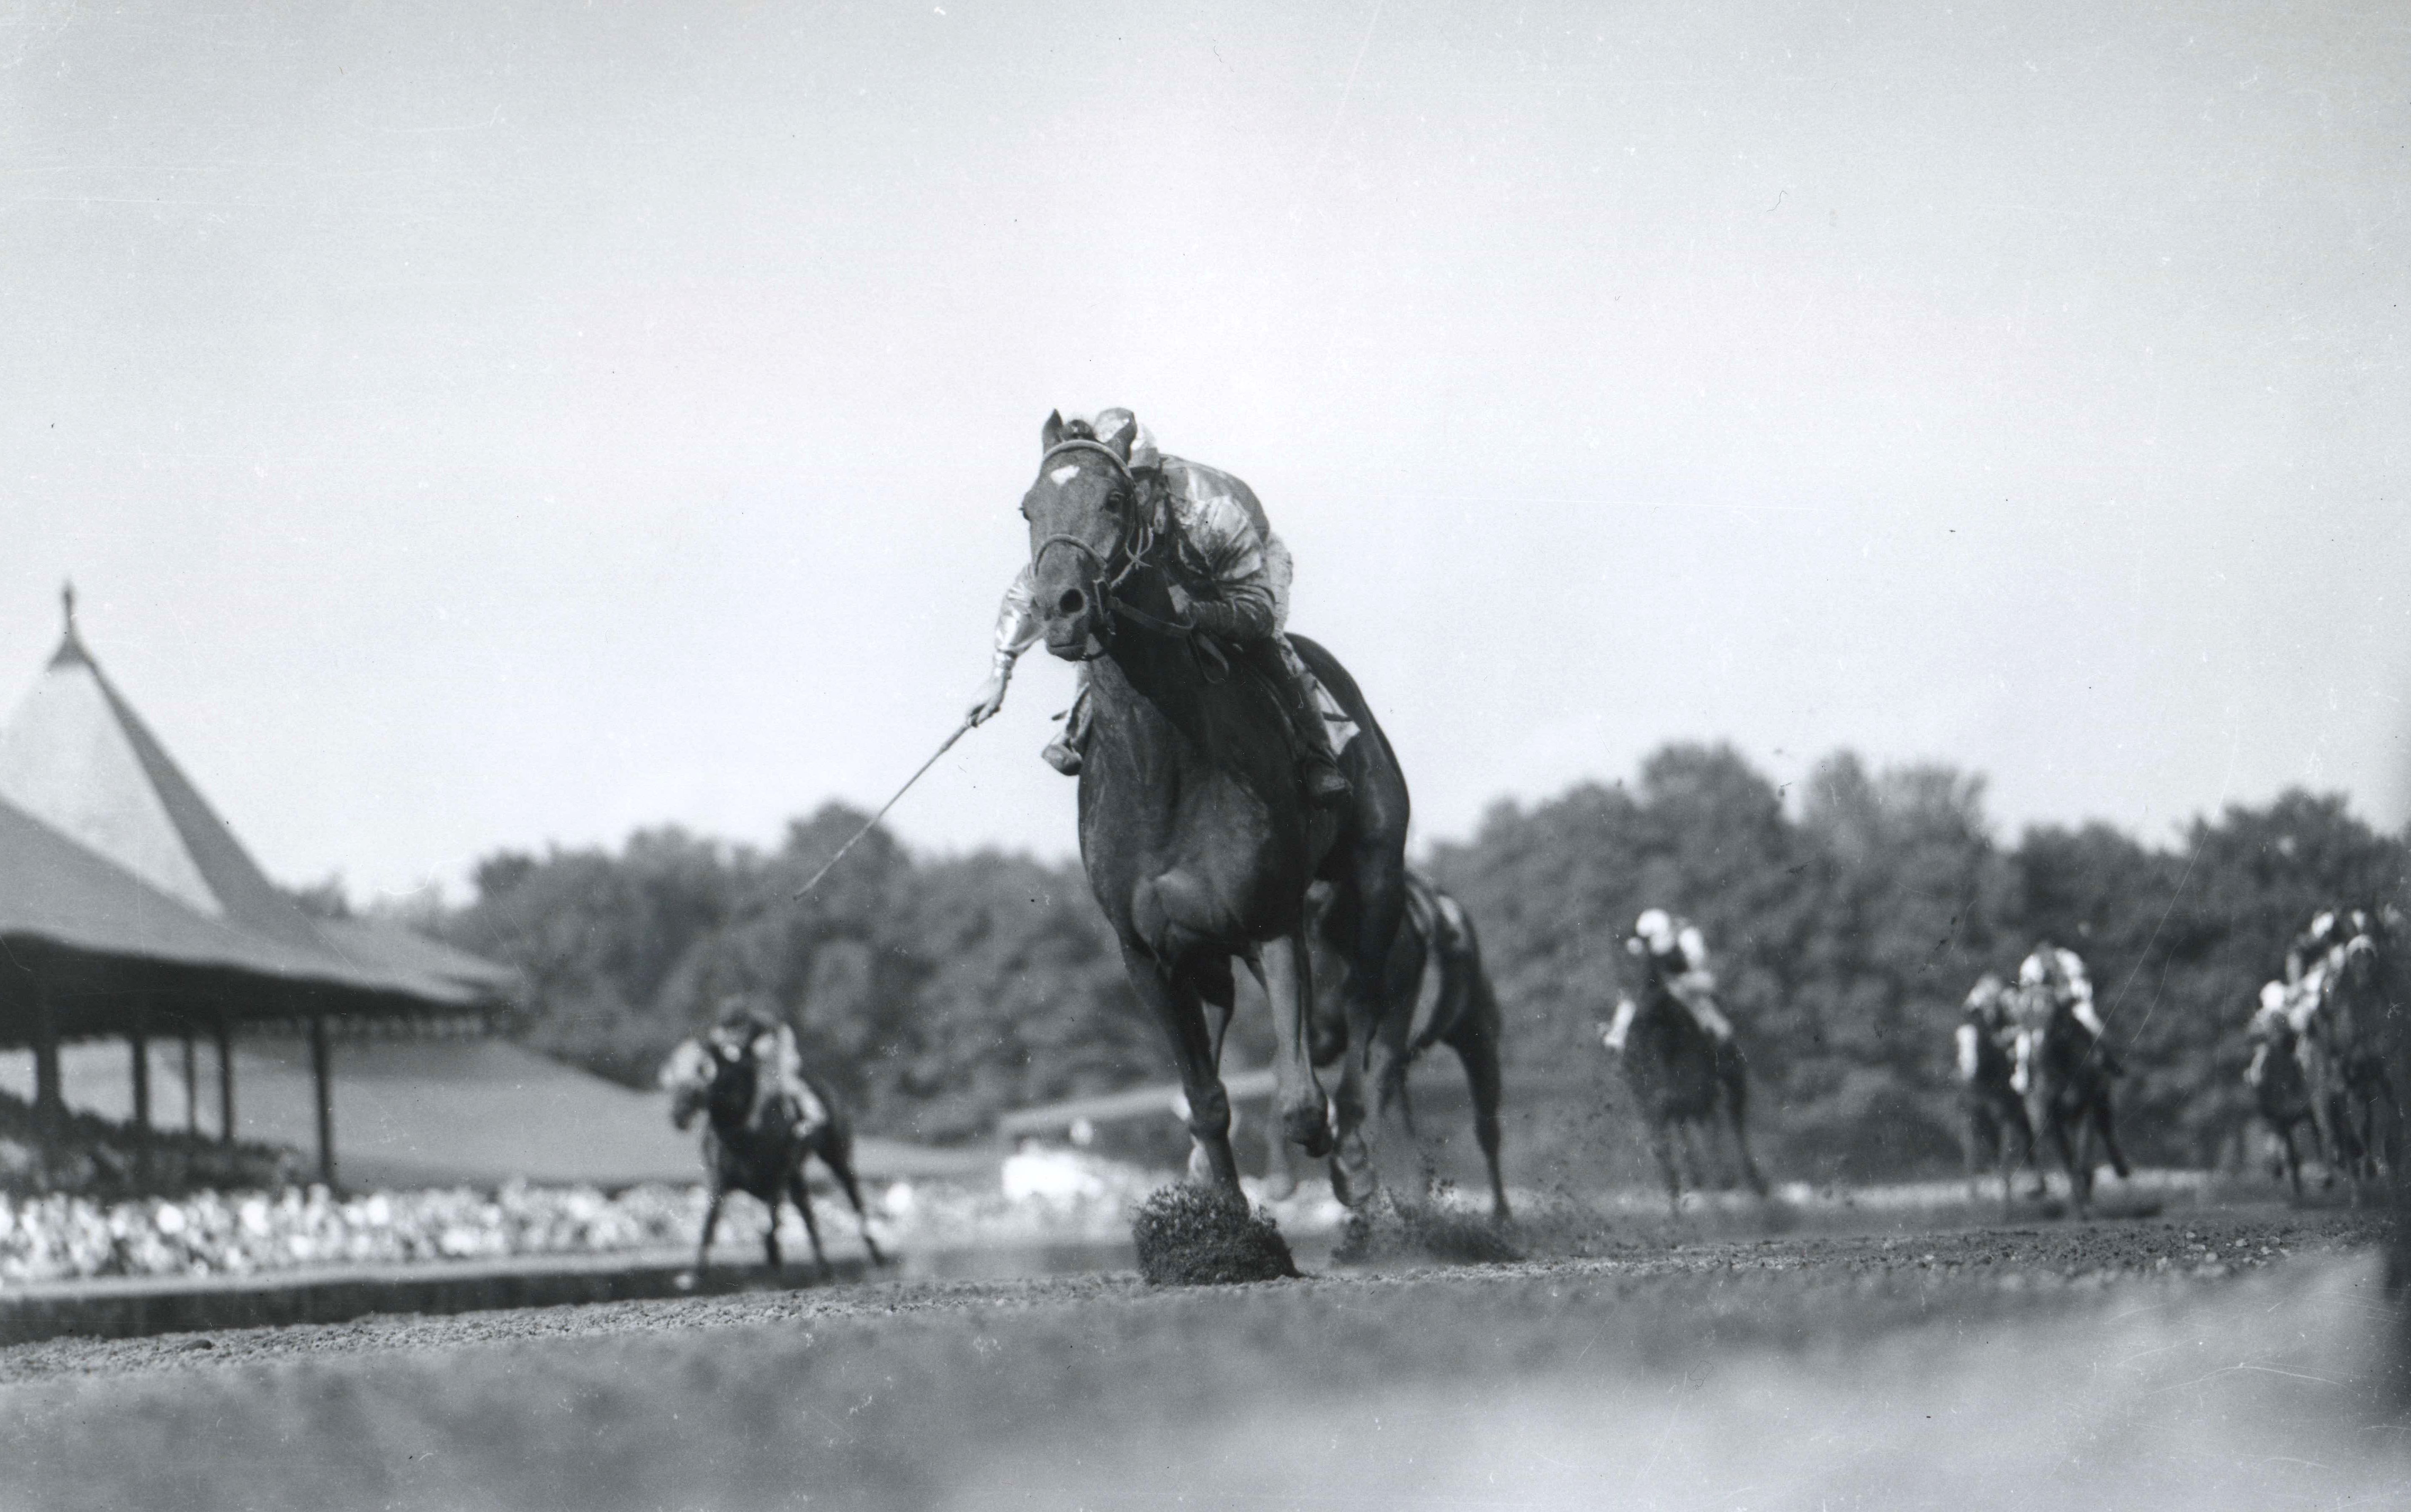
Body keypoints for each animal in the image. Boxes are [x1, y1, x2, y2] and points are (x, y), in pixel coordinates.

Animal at [661, 1027, 887, 1273]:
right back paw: (824, 1267)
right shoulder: (720, 1180)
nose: (679, 1114)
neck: (743, 1134)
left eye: (702, 1067)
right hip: (797, 1174)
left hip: (836, 1156)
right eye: (674, 1068)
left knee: (852, 1195)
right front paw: (694, 1275)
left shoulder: (778, 1176)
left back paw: (874, 1252)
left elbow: (772, 1227)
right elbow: (709, 1228)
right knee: (806, 1211)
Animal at [1017, 407, 1408, 1201]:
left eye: (1114, 501)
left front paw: (1329, 1153)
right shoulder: (1146, 952)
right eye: (1028, 509)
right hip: (1203, 947)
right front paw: (1220, 1208)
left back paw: (1356, 1155)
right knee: (1227, 1016)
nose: (1060, 609)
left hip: (1374, 878)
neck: (1162, 775)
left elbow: (1299, 1102)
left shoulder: (1274, 922)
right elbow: (1205, 1099)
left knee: (1362, 1008)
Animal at [2015, 993, 2131, 1220]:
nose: (2037, 1051)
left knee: (2105, 1127)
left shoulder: (2087, 1106)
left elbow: (2084, 1158)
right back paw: (2041, 1187)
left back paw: (2120, 1168)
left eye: (2053, 1016)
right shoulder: (2052, 1117)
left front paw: (2086, 1205)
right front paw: (2080, 1206)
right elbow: (2069, 1162)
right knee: (2037, 1142)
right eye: (2027, 1016)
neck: (2064, 1064)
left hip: (2097, 1101)